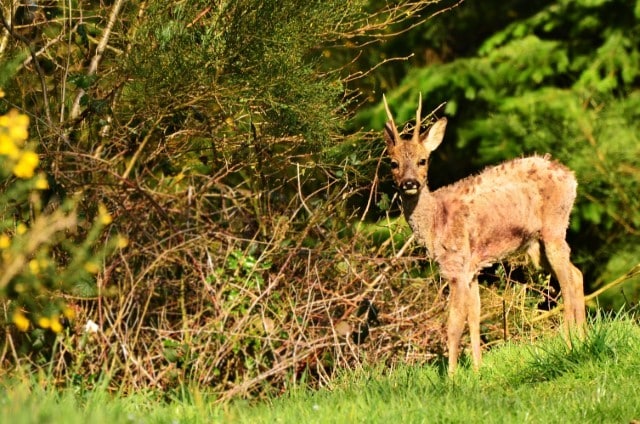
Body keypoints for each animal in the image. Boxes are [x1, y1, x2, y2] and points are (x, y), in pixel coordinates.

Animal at [382, 94, 588, 372]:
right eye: (393, 163)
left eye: (422, 160)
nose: (409, 183)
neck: (436, 223)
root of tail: (571, 177)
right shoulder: (472, 268)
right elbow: (474, 317)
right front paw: (478, 369)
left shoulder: (456, 267)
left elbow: (454, 323)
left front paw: (452, 375)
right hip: (537, 247)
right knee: (575, 274)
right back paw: (583, 339)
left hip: (554, 226)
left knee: (566, 282)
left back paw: (568, 344)